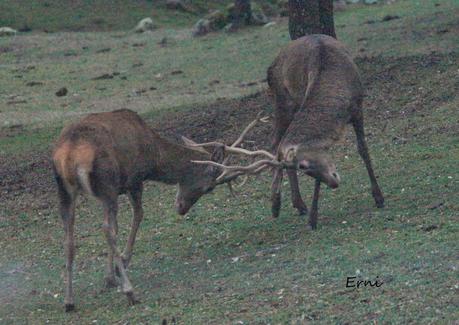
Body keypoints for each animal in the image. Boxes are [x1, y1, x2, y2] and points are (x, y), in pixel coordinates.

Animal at [53, 108, 258, 308]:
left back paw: (69, 301)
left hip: (65, 190)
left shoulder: (123, 187)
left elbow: (120, 226)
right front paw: (122, 265)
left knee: (69, 239)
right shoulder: (134, 179)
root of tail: (70, 155)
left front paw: (110, 277)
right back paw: (129, 291)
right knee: (106, 228)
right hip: (106, 183)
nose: (181, 209)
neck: (154, 158)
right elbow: (138, 215)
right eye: (209, 187)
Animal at [268, 34, 386, 227]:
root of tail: (270, 66)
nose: (334, 183)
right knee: (274, 143)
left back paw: (298, 204)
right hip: (282, 101)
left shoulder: (358, 108)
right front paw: (313, 218)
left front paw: (379, 197)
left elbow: (363, 149)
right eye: (304, 168)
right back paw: (277, 204)